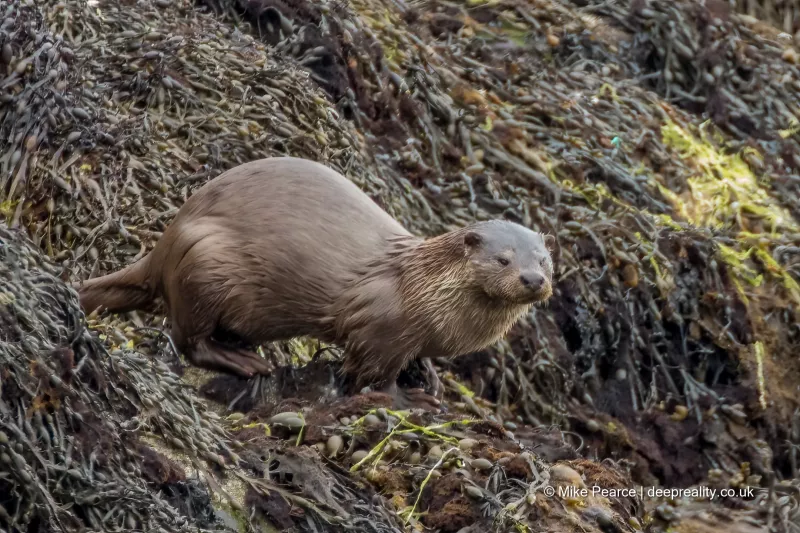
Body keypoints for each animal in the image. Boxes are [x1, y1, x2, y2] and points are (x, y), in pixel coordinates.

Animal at [75, 157, 554, 409]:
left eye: (544, 259)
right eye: (503, 259)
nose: (533, 279)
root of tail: (167, 241)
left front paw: (430, 378)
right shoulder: (379, 325)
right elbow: (373, 375)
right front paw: (407, 398)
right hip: (205, 265)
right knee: (187, 337)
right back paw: (247, 363)